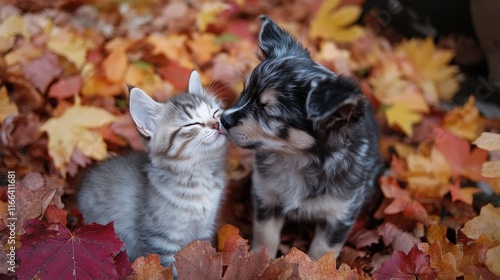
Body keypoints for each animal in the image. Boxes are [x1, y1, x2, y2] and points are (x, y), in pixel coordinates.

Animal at [77, 70, 229, 270]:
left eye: (215, 113)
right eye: (192, 124)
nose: (216, 124)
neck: (199, 176)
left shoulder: (204, 231)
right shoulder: (161, 240)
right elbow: (170, 271)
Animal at [221, 15, 380, 260]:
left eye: (268, 112)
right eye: (243, 92)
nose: (223, 118)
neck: (297, 159)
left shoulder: (339, 214)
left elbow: (321, 253)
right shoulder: (266, 196)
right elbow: (266, 236)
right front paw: (260, 260)